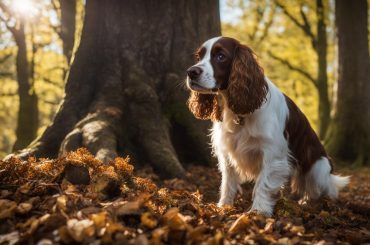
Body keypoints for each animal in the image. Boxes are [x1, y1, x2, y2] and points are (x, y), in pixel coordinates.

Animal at [186, 36, 348, 216]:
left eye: (221, 56)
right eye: (199, 57)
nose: (191, 72)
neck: (239, 113)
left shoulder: (273, 154)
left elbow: (263, 184)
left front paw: (258, 211)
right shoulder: (227, 152)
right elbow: (227, 183)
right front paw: (223, 207)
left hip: (318, 168)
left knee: (322, 190)